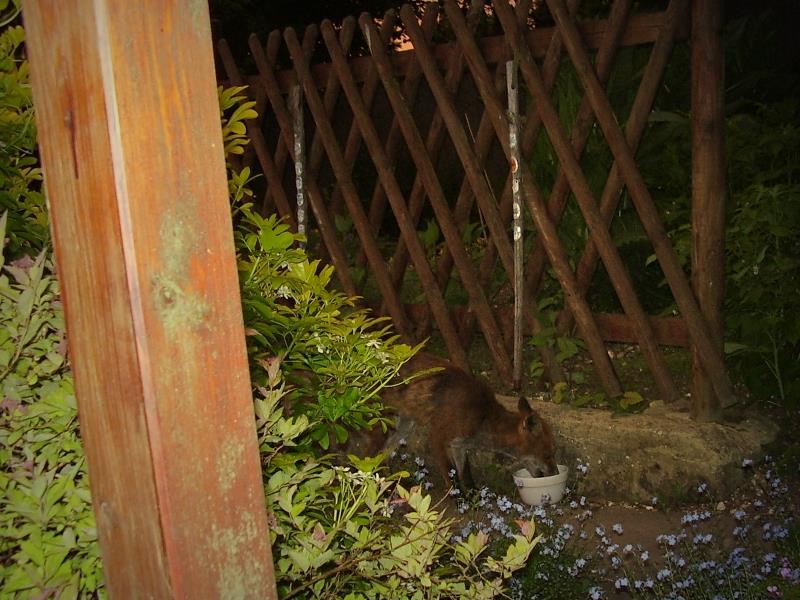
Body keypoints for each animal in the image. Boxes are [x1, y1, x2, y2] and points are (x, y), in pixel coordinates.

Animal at [370, 353, 558, 488]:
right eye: (547, 455)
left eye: (552, 454)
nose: (556, 474)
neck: (481, 416)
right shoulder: (438, 436)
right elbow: (452, 477)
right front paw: (461, 502)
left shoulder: (459, 445)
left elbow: (464, 474)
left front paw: (475, 498)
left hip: (403, 427)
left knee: (382, 458)